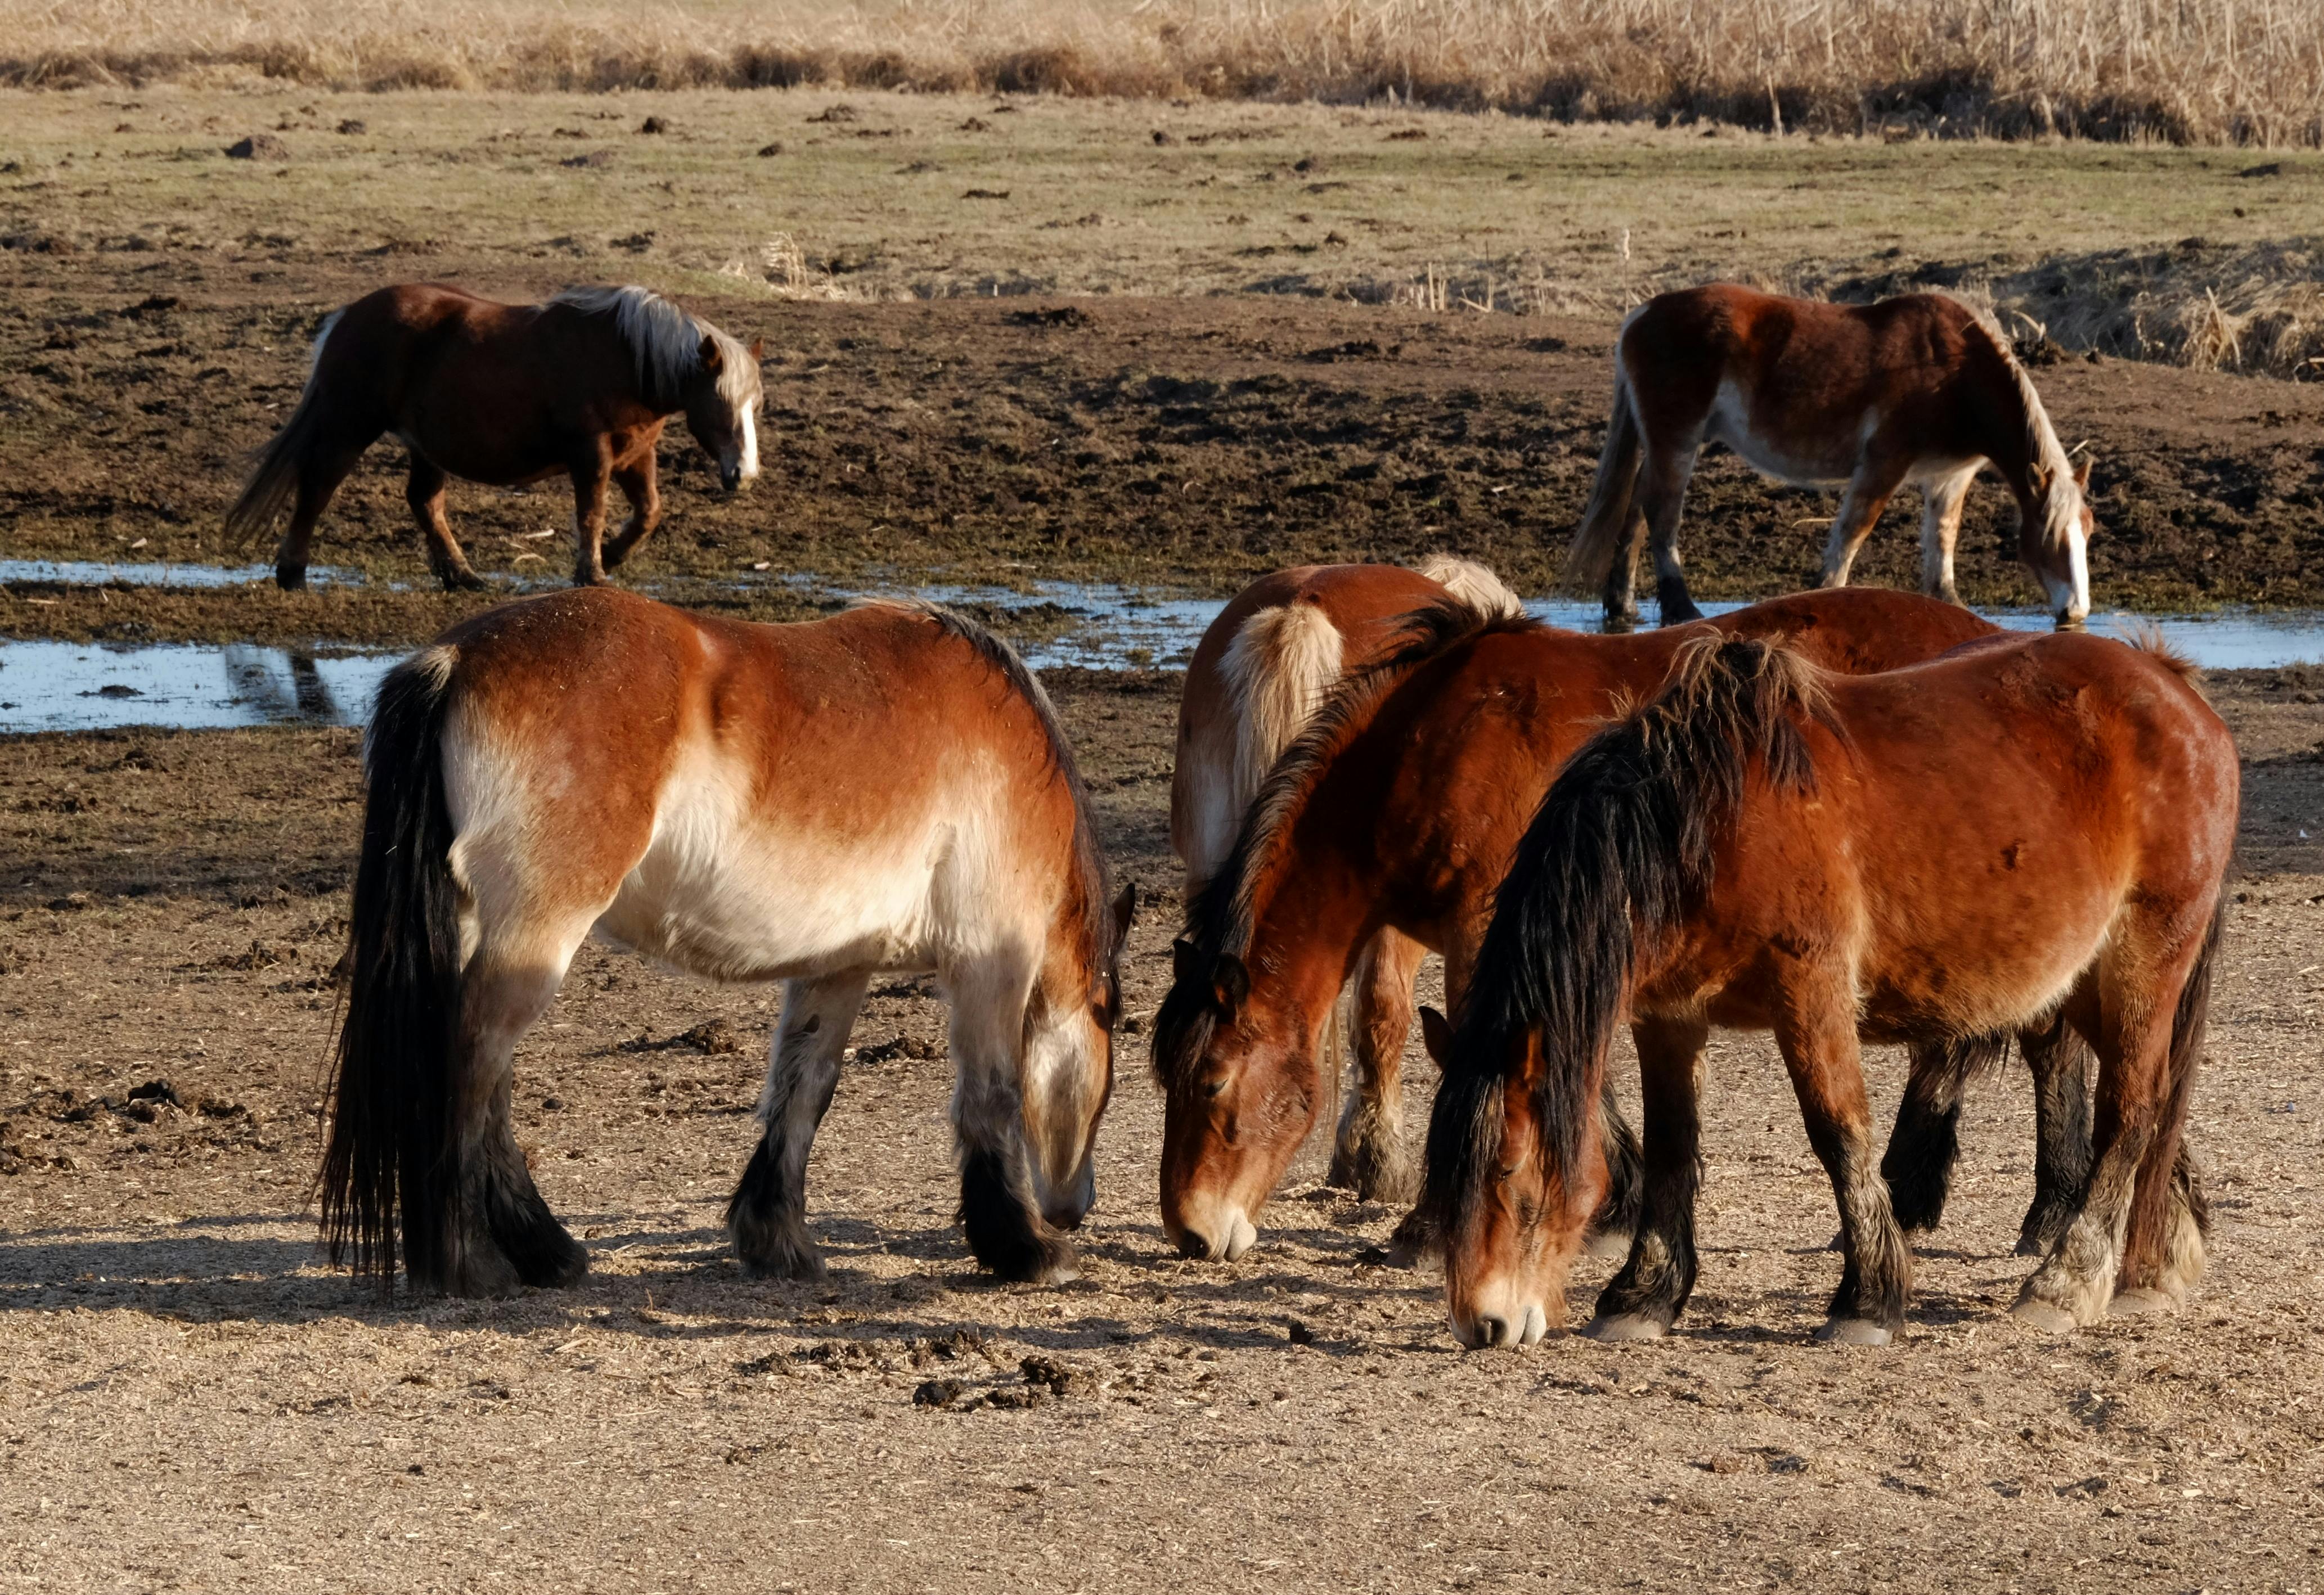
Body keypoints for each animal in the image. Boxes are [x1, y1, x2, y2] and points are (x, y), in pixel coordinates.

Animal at [224, 284, 764, 592]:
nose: (744, 474)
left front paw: (611, 557)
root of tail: (348, 317)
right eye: (720, 403)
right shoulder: (591, 454)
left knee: (424, 502)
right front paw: (591, 573)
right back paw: (293, 573)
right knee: (318, 487)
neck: (628, 359)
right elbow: (591, 514)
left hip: (425, 445)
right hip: (349, 424)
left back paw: (462, 576)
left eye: (754, 405)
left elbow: (649, 513)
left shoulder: (635, 453)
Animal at [319, 587, 1134, 1296]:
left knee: (492, 1086)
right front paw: (1023, 1250)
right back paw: (471, 1265)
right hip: (532, 937)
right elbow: (991, 1094)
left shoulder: (839, 966)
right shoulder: (990, 959)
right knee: (469, 1067)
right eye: (1110, 1035)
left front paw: (776, 1240)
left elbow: (804, 1090)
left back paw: (547, 1253)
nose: (1076, 1206)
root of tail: (454, 659)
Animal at [1423, 632, 2235, 1349]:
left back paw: (2066, 1282)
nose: (1482, 1324)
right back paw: (2155, 1265)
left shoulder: (1809, 987)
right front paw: (1643, 1295)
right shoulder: (1668, 1016)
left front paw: (1866, 1301)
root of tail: (2171, 686)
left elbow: (1838, 1132)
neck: (1704, 821)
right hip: (2080, 984)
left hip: (2142, 962)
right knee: (2153, 1105)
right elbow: (1670, 1145)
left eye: (1510, 1173)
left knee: (2129, 1112)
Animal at [1563, 285, 2094, 634]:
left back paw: (1623, 607)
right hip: (1677, 438)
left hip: (1659, 442)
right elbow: (1850, 535)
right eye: (2048, 537)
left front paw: (1952, 607)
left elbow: (1941, 545)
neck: (1954, 371)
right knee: (1661, 513)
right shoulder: (1883, 462)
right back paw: (1681, 610)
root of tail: (1643, 313)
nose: (2076, 613)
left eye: (2086, 534)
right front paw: (1824, 596)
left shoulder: (1948, 478)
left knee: (1636, 511)